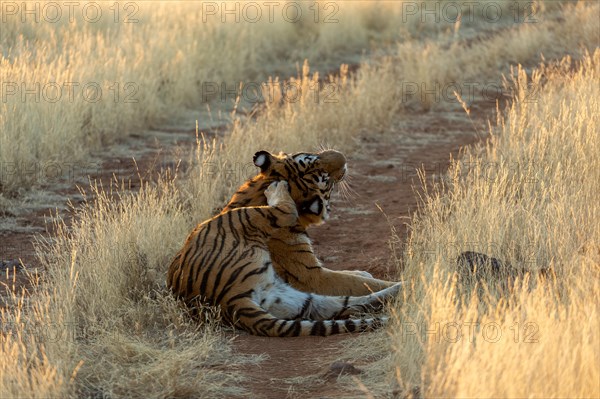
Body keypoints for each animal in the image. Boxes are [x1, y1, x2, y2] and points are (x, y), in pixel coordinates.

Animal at [166, 150, 400, 338]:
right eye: (326, 180)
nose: (344, 159)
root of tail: (229, 301)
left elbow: (356, 277)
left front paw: (364, 272)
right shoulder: (311, 275)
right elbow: (354, 280)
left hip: (292, 298)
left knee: (347, 303)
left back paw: (400, 288)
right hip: (250, 222)